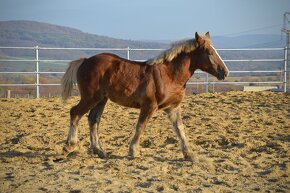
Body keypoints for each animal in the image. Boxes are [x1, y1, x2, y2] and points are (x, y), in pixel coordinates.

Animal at [60, 32, 229, 161]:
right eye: (209, 52)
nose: (224, 72)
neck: (169, 74)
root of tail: (85, 61)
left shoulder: (173, 108)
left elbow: (180, 129)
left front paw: (189, 154)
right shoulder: (149, 106)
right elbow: (140, 126)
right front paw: (133, 151)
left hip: (101, 99)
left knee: (93, 119)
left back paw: (99, 150)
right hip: (90, 98)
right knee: (75, 113)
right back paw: (70, 145)